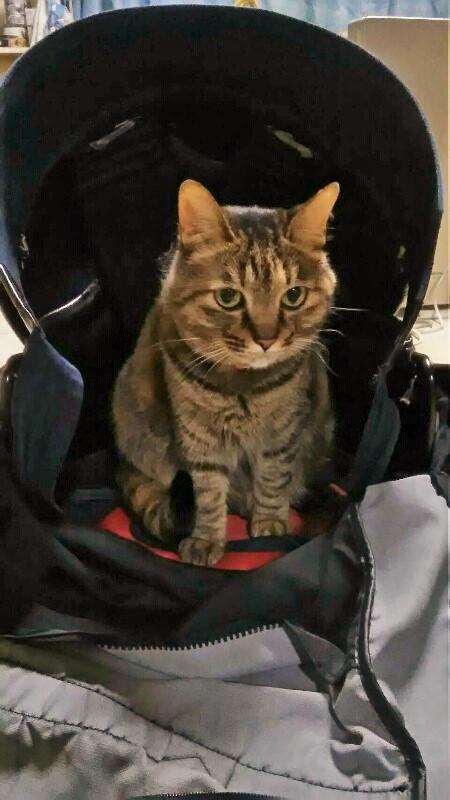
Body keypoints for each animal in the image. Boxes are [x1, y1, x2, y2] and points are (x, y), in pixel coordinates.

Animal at [113, 179, 339, 566]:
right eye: (229, 298)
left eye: (293, 295)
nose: (266, 339)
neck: (242, 387)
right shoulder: (200, 439)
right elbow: (207, 493)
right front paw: (206, 538)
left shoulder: (282, 433)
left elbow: (274, 477)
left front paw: (270, 521)